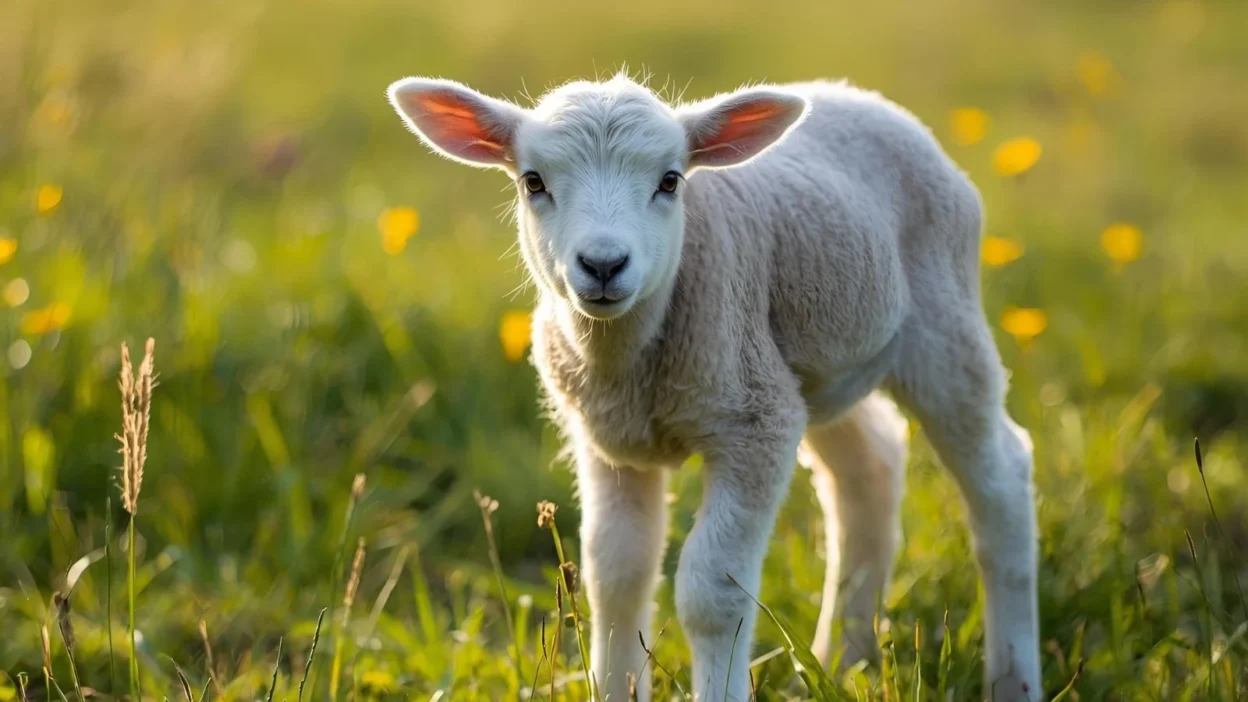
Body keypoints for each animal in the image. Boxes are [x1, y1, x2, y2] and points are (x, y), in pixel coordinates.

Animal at [387, 74, 1041, 702]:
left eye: (670, 181)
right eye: (533, 181)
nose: (603, 265)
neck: (631, 365)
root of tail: (866, 98)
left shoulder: (754, 424)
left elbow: (711, 595)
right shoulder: (609, 442)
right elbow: (615, 579)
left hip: (943, 329)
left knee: (1001, 478)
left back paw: (1013, 679)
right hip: (815, 369)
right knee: (869, 467)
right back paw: (842, 661)